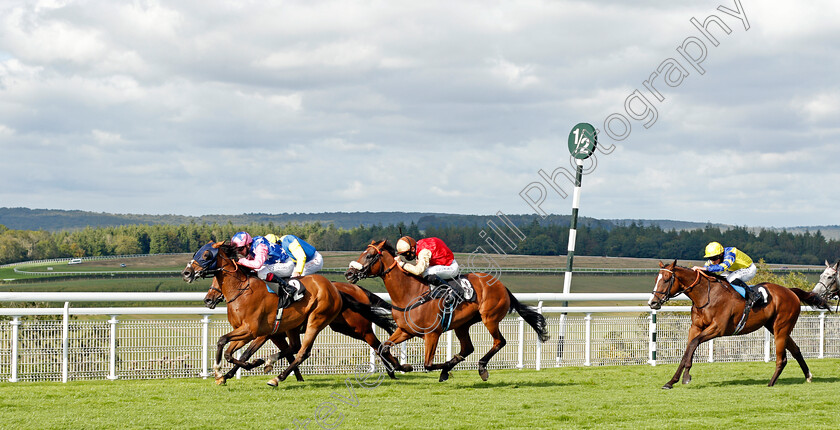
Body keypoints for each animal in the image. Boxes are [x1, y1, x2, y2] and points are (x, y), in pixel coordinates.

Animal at [344, 239, 548, 382]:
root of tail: (502, 286)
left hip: (489, 318)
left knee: (500, 341)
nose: (348, 273)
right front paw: (399, 368)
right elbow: (382, 347)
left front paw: (443, 369)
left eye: (369, 256)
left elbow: (427, 364)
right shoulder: (406, 330)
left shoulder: (432, 333)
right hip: (463, 325)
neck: (410, 293)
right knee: (468, 348)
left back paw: (481, 367)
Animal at [648, 260, 832, 388]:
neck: (706, 295)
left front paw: (685, 377)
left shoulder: (717, 329)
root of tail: (790, 291)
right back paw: (808, 376)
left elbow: (693, 344)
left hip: (781, 327)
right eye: (656, 278)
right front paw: (673, 381)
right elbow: (688, 350)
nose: (652, 303)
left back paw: (771, 383)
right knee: (795, 350)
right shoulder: (695, 327)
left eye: (666, 279)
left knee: (783, 358)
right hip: (774, 327)